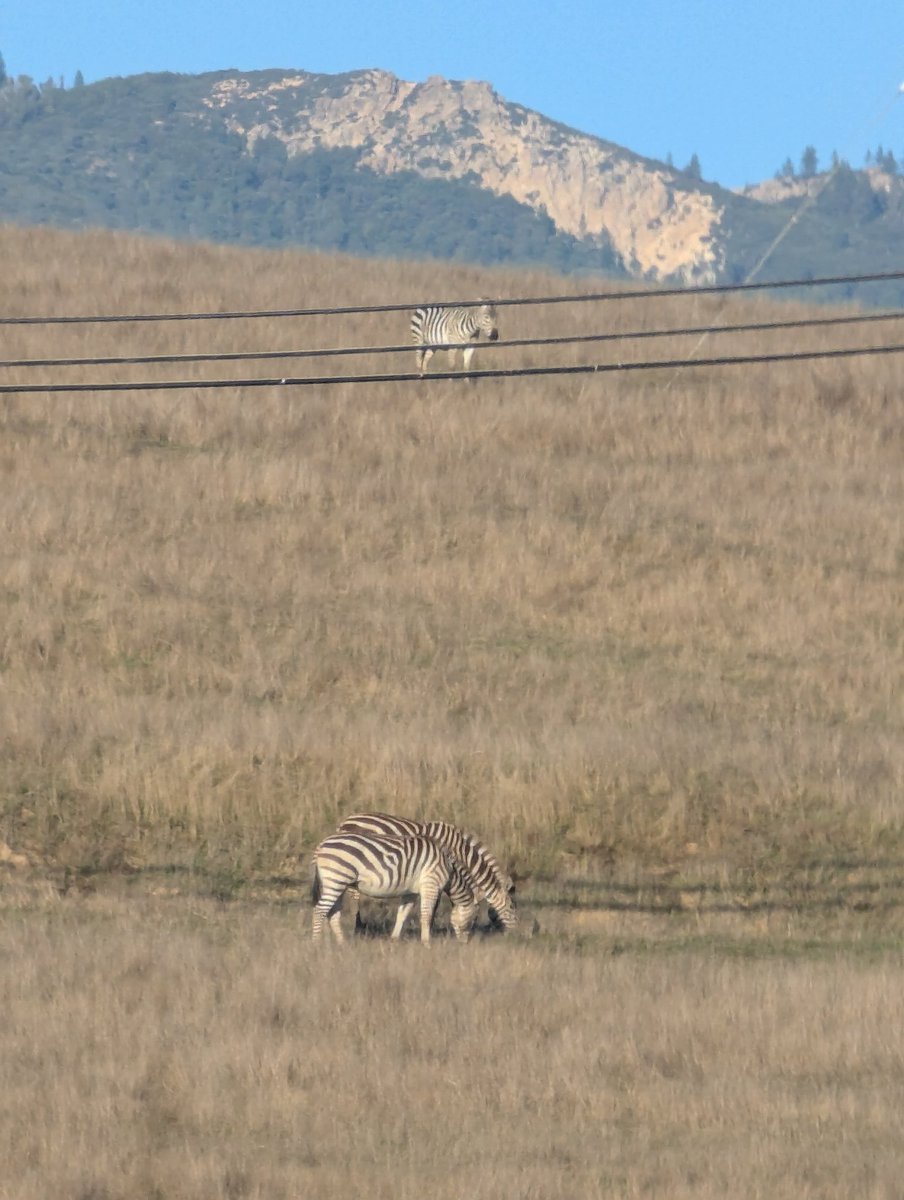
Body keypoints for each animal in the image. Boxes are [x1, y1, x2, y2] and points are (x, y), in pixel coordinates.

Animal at [311, 830, 477, 944]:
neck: (450, 871)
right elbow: (426, 915)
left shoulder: (410, 892)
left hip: (336, 883)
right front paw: (426, 943)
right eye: (472, 921)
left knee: (333, 913)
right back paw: (317, 944)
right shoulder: (430, 885)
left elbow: (402, 914)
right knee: (319, 911)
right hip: (336, 880)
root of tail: (321, 845)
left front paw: (394, 940)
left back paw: (342, 944)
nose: (464, 944)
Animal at [339, 812, 518, 933]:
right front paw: (432, 927)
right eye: (512, 906)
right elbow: (438, 903)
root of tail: (345, 822)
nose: (511, 935)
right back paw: (358, 927)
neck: (459, 850)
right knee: (354, 897)